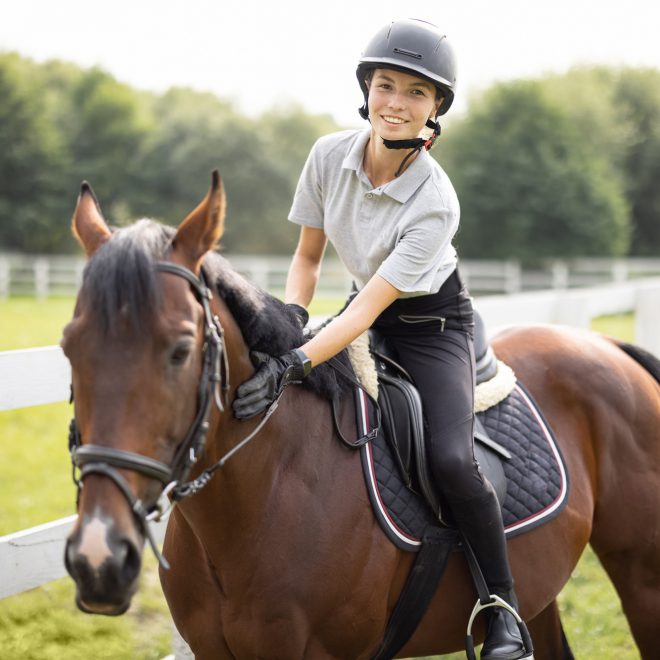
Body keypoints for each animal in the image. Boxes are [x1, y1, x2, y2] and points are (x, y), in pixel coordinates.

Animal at [62, 172, 660, 659]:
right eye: (69, 347)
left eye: (180, 350)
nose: (98, 559)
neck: (268, 489)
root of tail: (606, 344)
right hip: (540, 590)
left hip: (642, 578)